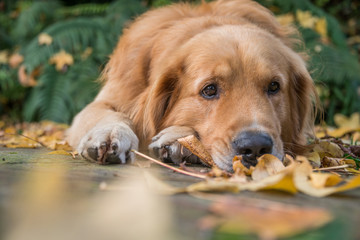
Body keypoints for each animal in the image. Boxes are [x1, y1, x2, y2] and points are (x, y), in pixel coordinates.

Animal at [67, 0, 316, 172]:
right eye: (209, 90)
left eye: (274, 86)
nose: (255, 147)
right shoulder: (108, 98)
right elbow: (107, 114)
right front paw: (111, 133)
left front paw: (180, 140)